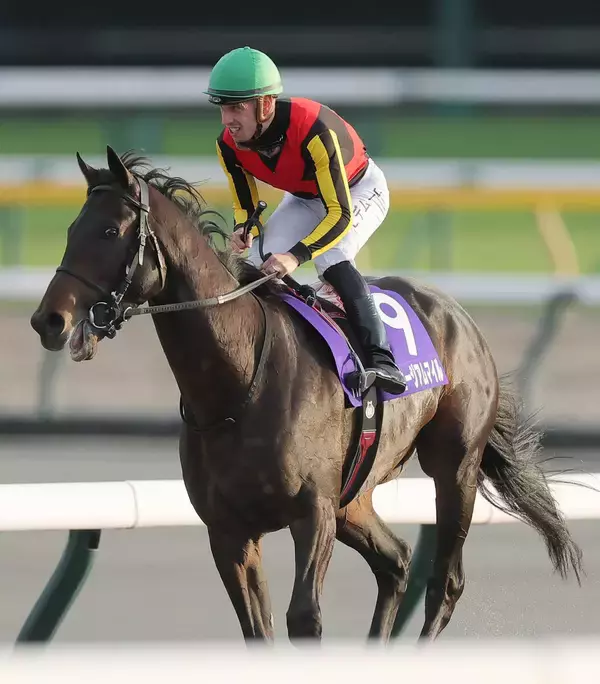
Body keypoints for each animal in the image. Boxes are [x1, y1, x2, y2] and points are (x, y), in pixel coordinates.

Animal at [30, 146, 583, 643]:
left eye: (110, 231)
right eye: (70, 230)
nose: (48, 321)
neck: (237, 384)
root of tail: (459, 315)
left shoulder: (312, 513)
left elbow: (305, 620)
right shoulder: (229, 531)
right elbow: (259, 630)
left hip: (454, 469)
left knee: (444, 583)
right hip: (354, 496)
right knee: (396, 562)